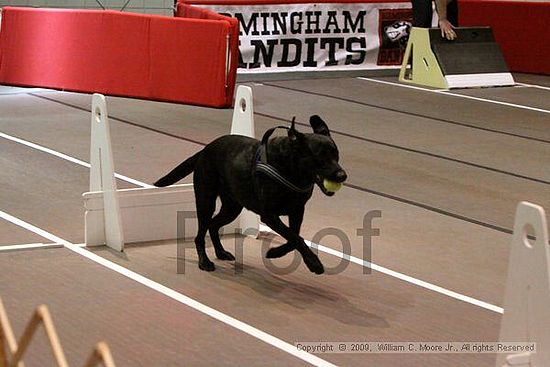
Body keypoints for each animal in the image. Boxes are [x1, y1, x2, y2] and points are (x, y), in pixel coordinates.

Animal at [153, 116, 348, 274]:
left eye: (336, 154)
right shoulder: (269, 215)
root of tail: (204, 150)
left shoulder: (297, 210)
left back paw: (221, 252)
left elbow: (294, 237)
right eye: (320, 156)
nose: (342, 176)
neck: (290, 170)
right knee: (201, 234)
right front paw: (314, 263)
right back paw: (205, 262)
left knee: (213, 225)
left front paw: (274, 252)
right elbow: (294, 237)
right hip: (205, 200)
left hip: (232, 207)